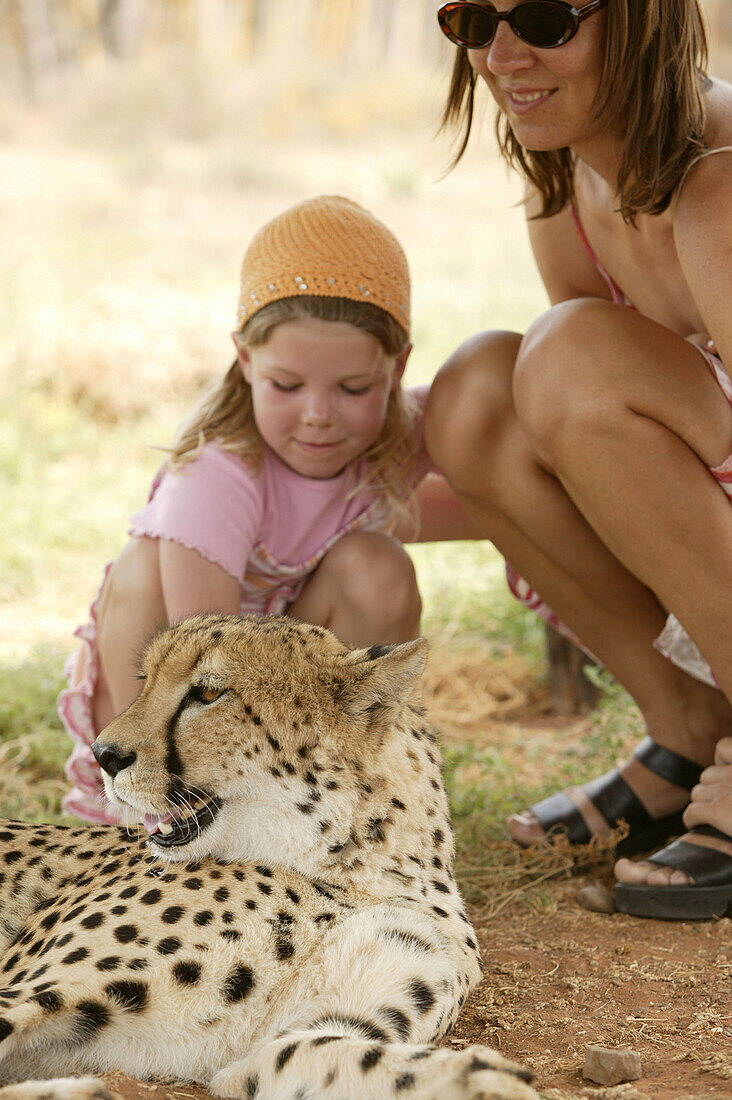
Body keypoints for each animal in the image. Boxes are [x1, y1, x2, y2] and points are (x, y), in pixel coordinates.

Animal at [0, 620, 537, 1100]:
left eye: (208, 693)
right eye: (145, 680)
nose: (103, 755)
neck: (360, 872)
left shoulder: (288, 1043)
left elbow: (333, 1058)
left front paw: (475, 1079)